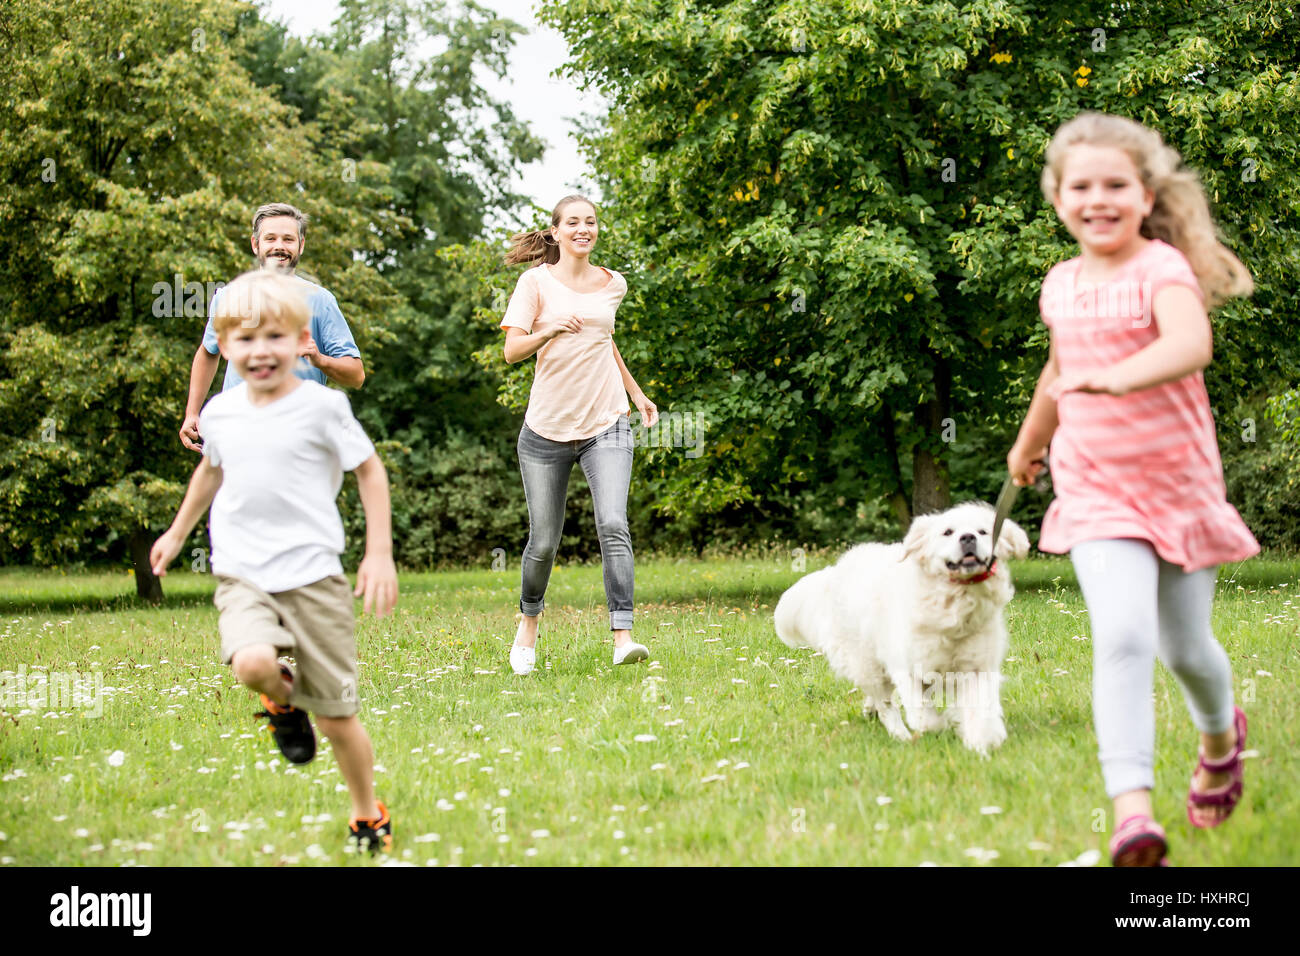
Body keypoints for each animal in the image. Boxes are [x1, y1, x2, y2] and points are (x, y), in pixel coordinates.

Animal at [774, 502, 1029, 754]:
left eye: (983, 532)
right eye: (947, 532)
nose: (968, 538)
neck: (952, 607)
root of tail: (833, 573)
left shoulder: (976, 668)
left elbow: (980, 710)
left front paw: (980, 742)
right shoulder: (908, 668)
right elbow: (923, 716)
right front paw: (941, 725)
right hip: (867, 664)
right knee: (886, 704)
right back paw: (901, 735)